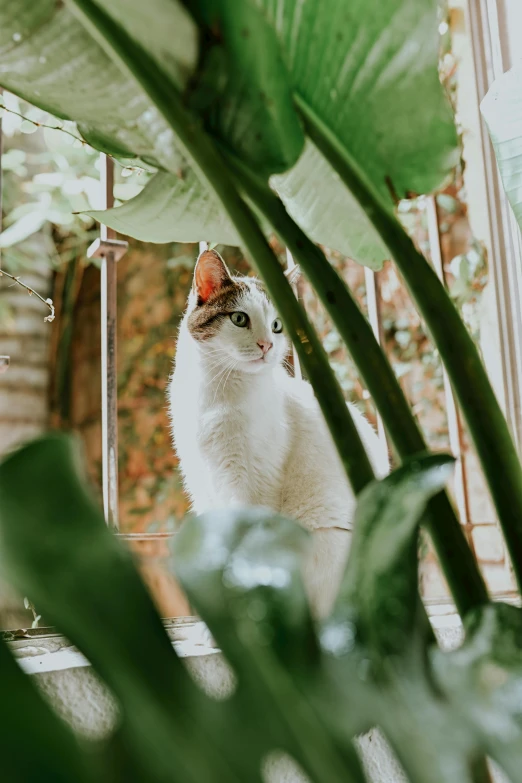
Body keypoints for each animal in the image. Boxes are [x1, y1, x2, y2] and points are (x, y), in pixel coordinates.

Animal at [168, 250, 386, 620]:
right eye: (239, 319)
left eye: (277, 325)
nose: (267, 345)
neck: (215, 393)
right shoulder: (203, 482)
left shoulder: (253, 484)